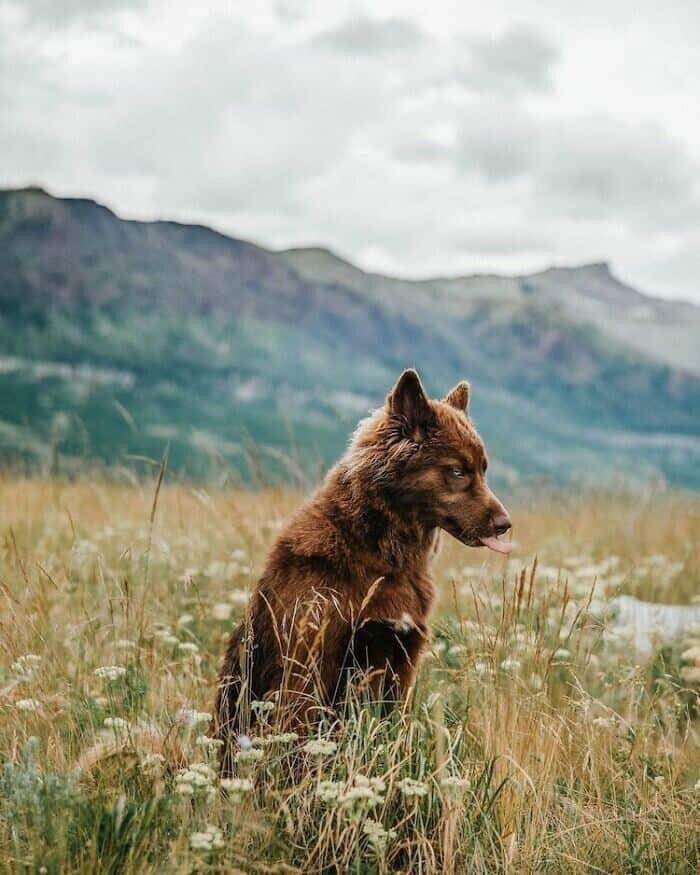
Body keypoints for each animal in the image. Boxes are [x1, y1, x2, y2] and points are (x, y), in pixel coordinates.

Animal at [211, 370, 512, 772]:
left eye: (482, 470)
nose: (505, 525)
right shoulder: (312, 656)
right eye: (457, 470)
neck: (383, 556)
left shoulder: (400, 657)